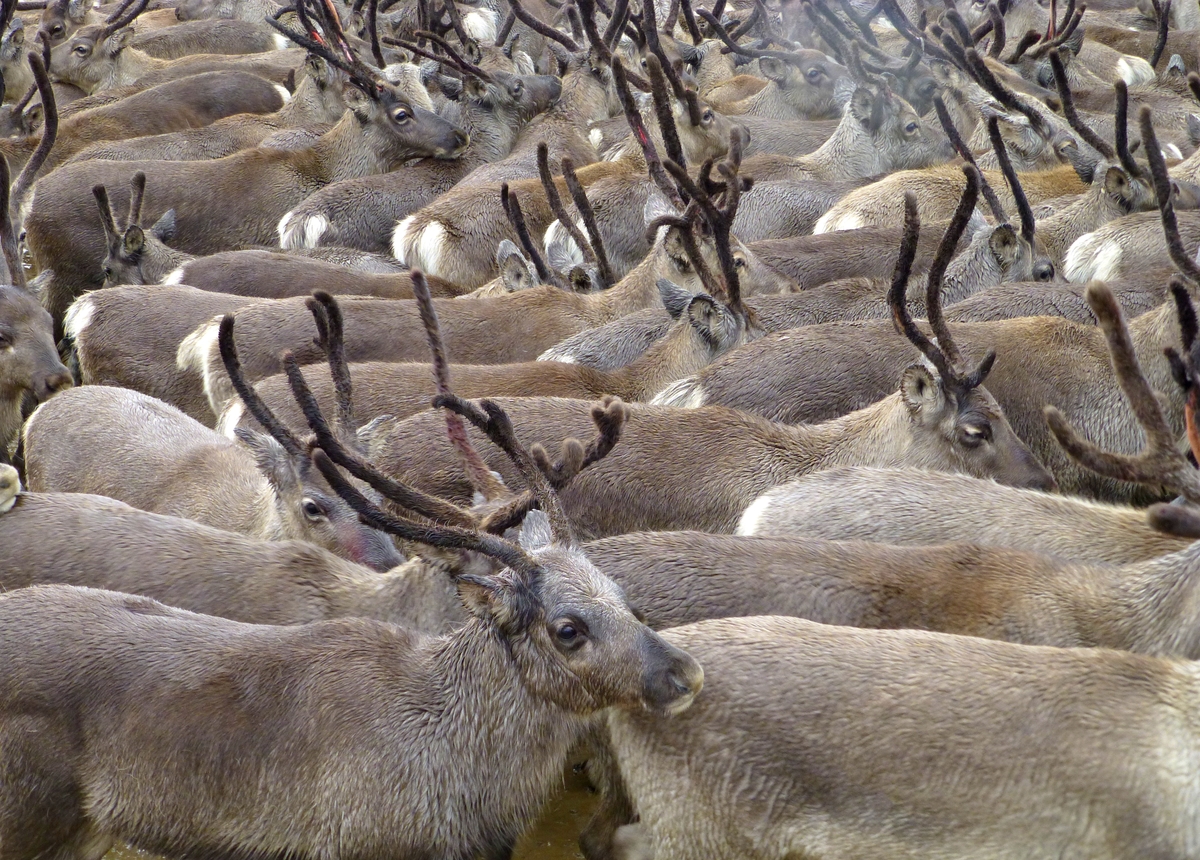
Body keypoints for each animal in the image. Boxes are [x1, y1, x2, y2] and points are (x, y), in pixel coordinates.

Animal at [25, 0, 470, 327]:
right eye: (401, 113)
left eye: (408, 89)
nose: (458, 136)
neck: (323, 169)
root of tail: (29, 203)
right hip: (62, 278)